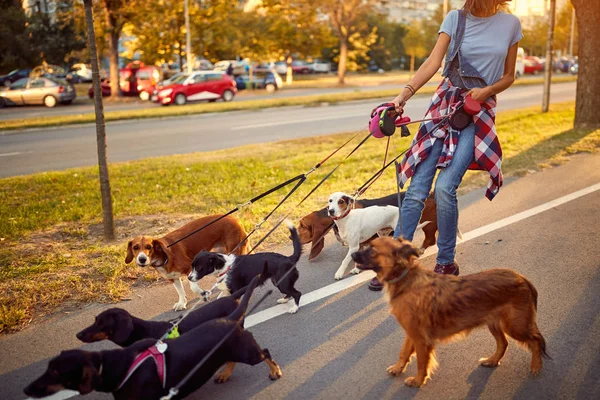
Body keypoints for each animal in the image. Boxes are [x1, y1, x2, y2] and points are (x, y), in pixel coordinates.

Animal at [352, 238, 548, 388]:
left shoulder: (420, 338)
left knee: (536, 340)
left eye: (372, 250)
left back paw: (536, 366)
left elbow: (421, 362)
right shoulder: (411, 333)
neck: (405, 279)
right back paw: (492, 360)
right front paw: (398, 368)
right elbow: (404, 352)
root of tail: (523, 278)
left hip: (514, 325)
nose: (352, 254)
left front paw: (418, 381)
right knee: (504, 344)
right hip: (495, 323)